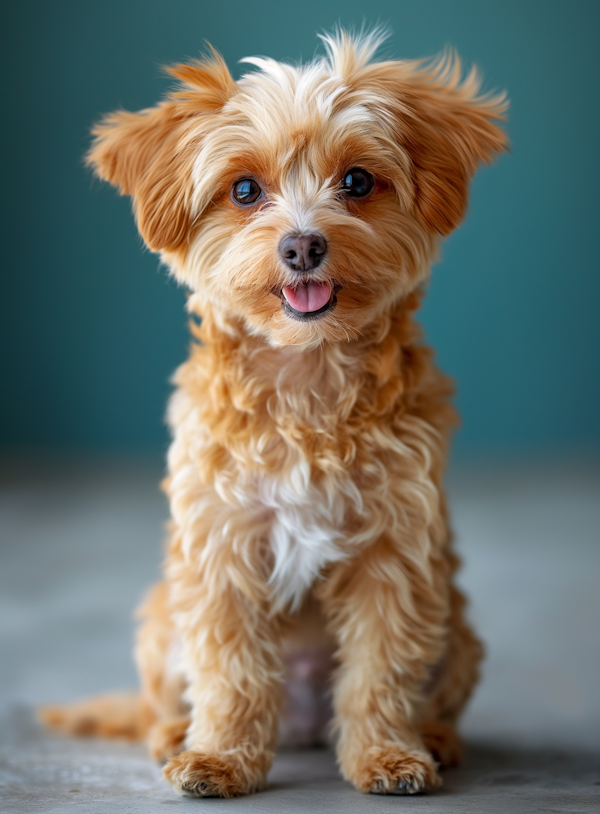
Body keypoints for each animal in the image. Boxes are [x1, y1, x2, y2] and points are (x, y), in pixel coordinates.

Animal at [41, 28, 506, 800]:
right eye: (244, 190)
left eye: (357, 182)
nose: (303, 244)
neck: (305, 374)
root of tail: (303, 725)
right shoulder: (221, 548)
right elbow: (229, 672)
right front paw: (220, 758)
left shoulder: (395, 551)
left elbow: (380, 670)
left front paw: (386, 754)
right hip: (162, 619)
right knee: (163, 702)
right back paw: (176, 734)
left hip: (459, 627)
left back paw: (436, 737)